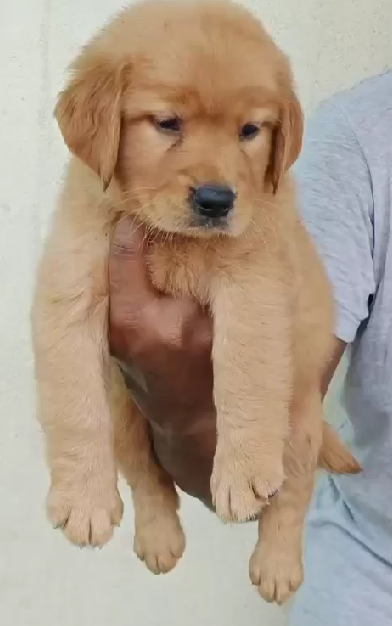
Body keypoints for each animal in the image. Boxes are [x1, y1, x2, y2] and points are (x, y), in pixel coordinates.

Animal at [32, 0, 360, 604]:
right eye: (167, 123)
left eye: (250, 130)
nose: (216, 200)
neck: (172, 238)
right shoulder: (70, 287)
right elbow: (72, 403)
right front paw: (82, 499)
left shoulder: (256, 280)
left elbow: (246, 373)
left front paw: (244, 470)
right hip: (127, 415)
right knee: (149, 478)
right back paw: (159, 539)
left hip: (299, 422)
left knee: (293, 496)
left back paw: (277, 565)